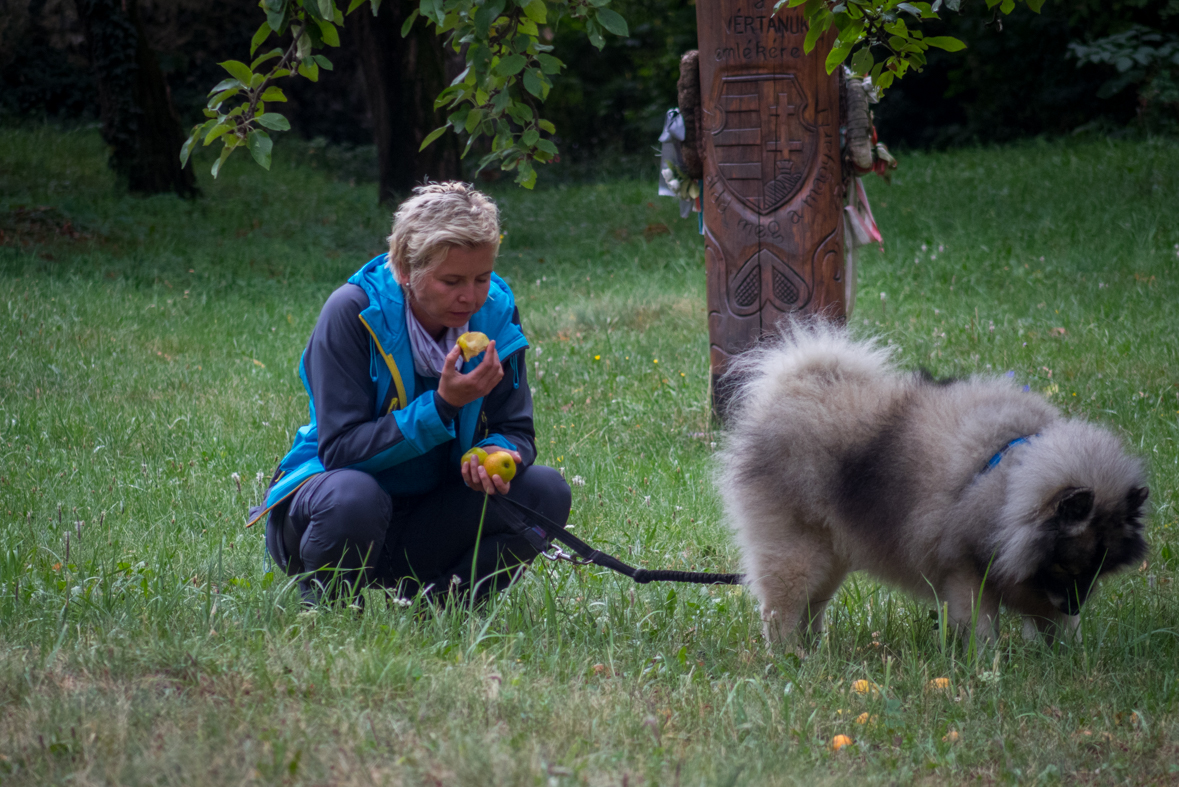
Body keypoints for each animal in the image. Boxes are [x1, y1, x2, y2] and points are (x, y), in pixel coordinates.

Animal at [716, 320, 1150, 645]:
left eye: (1098, 569)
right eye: (1065, 565)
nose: (1076, 605)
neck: (1009, 478)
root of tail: (791, 388)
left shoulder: (1031, 583)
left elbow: (1056, 625)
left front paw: (1069, 654)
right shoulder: (966, 571)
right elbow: (980, 624)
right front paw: (986, 664)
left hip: (830, 554)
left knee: (812, 606)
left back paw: (811, 651)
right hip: (798, 549)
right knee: (782, 608)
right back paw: (788, 655)